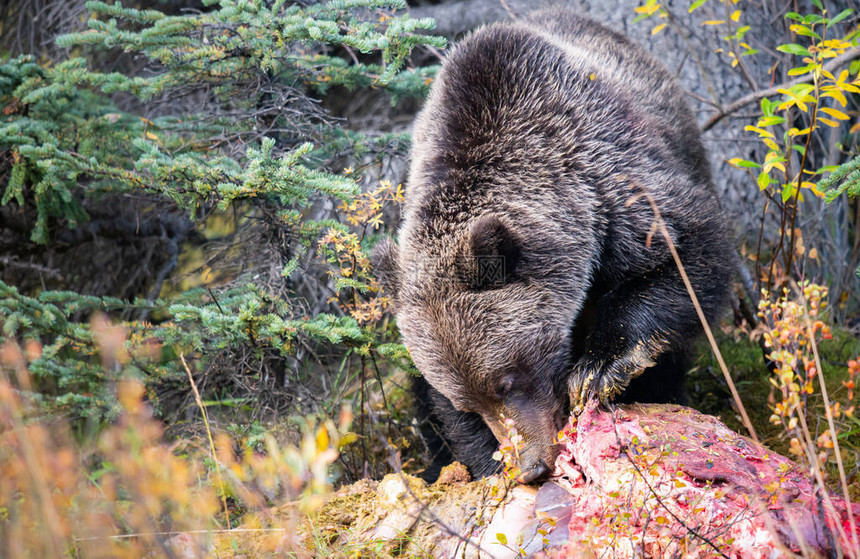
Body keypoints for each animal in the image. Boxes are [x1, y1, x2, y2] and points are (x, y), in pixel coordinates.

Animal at [372, 7, 728, 482]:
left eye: (507, 381)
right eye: (469, 400)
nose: (530, 467)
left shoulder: (615, 187)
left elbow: (688, 254)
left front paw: (598, 369)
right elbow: (438, 405)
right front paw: (484, 460)